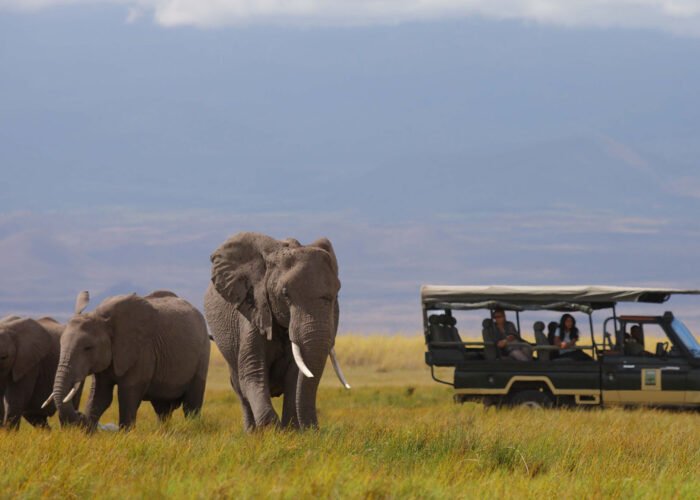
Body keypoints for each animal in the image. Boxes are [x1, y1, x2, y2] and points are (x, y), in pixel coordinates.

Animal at [53, 290, 209, 430]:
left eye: (88, 348)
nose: (79, 415)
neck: (102, 318)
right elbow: (100, 395)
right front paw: (88, 433)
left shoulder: (142, 351)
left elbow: (128, 394)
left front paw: (125, 434)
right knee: (162, 409)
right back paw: (162, 432)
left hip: (202, 353)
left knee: (191, 404)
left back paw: (192, 428)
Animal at [205, 232, 350, 432]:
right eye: (285, 294)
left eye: (337, 294)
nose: (315, 429)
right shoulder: (253, 310)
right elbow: (253, 372)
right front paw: (271, 431)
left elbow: (295, 376)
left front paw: (291, 432)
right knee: (240, 388)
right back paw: (251, 433)